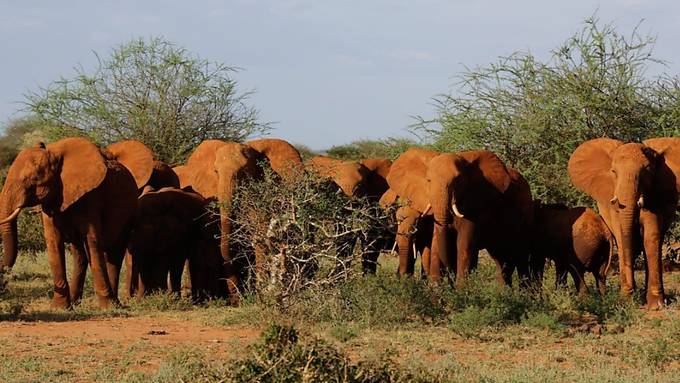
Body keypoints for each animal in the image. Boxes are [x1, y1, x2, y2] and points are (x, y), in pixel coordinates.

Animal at [0, 138, 154, 308]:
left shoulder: (90, 197)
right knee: (80, 254)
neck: (55, 153)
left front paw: (106, 307)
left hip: (129, 213)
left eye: (33, 180)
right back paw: (75, 302)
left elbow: (92, 241)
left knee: (114, 253)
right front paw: (59, 308)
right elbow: (53, 242)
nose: (4, 280)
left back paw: (115, 303)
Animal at [386, 148, 532, 286]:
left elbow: (464, 244)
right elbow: (436, 241)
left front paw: (461, 291)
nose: (449, 273)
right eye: (428, 180)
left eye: (457, 180)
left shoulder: (473, 205)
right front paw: (436, 290)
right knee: (501, 259)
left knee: (518, 256)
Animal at [568, 138, 680, 308]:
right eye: (613, 172)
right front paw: (627, 300)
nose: (629, 295)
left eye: (647, 170)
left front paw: (656, 305)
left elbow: (651, 236)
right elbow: (622, 236)